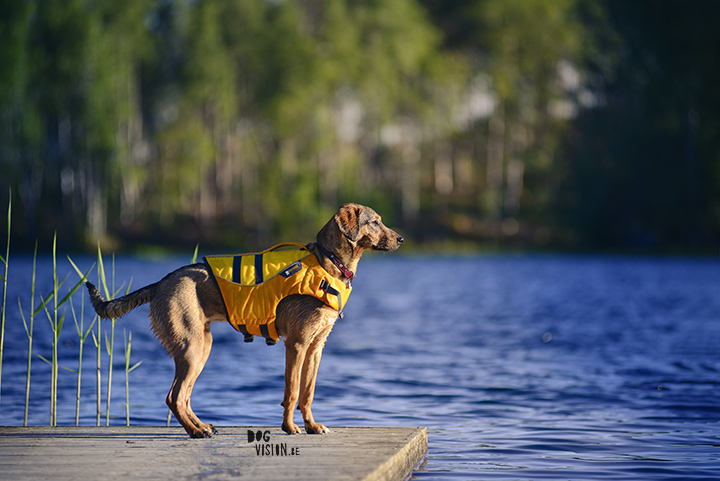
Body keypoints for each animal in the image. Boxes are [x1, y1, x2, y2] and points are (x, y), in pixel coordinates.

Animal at [86, 204, 402, 436]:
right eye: (375, 222)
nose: (401, 239)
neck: (330, 262)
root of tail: (161, 282)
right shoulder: (297, 344)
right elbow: (292, 391)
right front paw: (290, 428)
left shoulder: (316, 348)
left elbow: (308, 393)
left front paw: (312, 426)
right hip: (192, 348)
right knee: (174, 397)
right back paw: (196, 431)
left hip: (201, 347)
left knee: (181, 396)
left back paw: (201, 427)